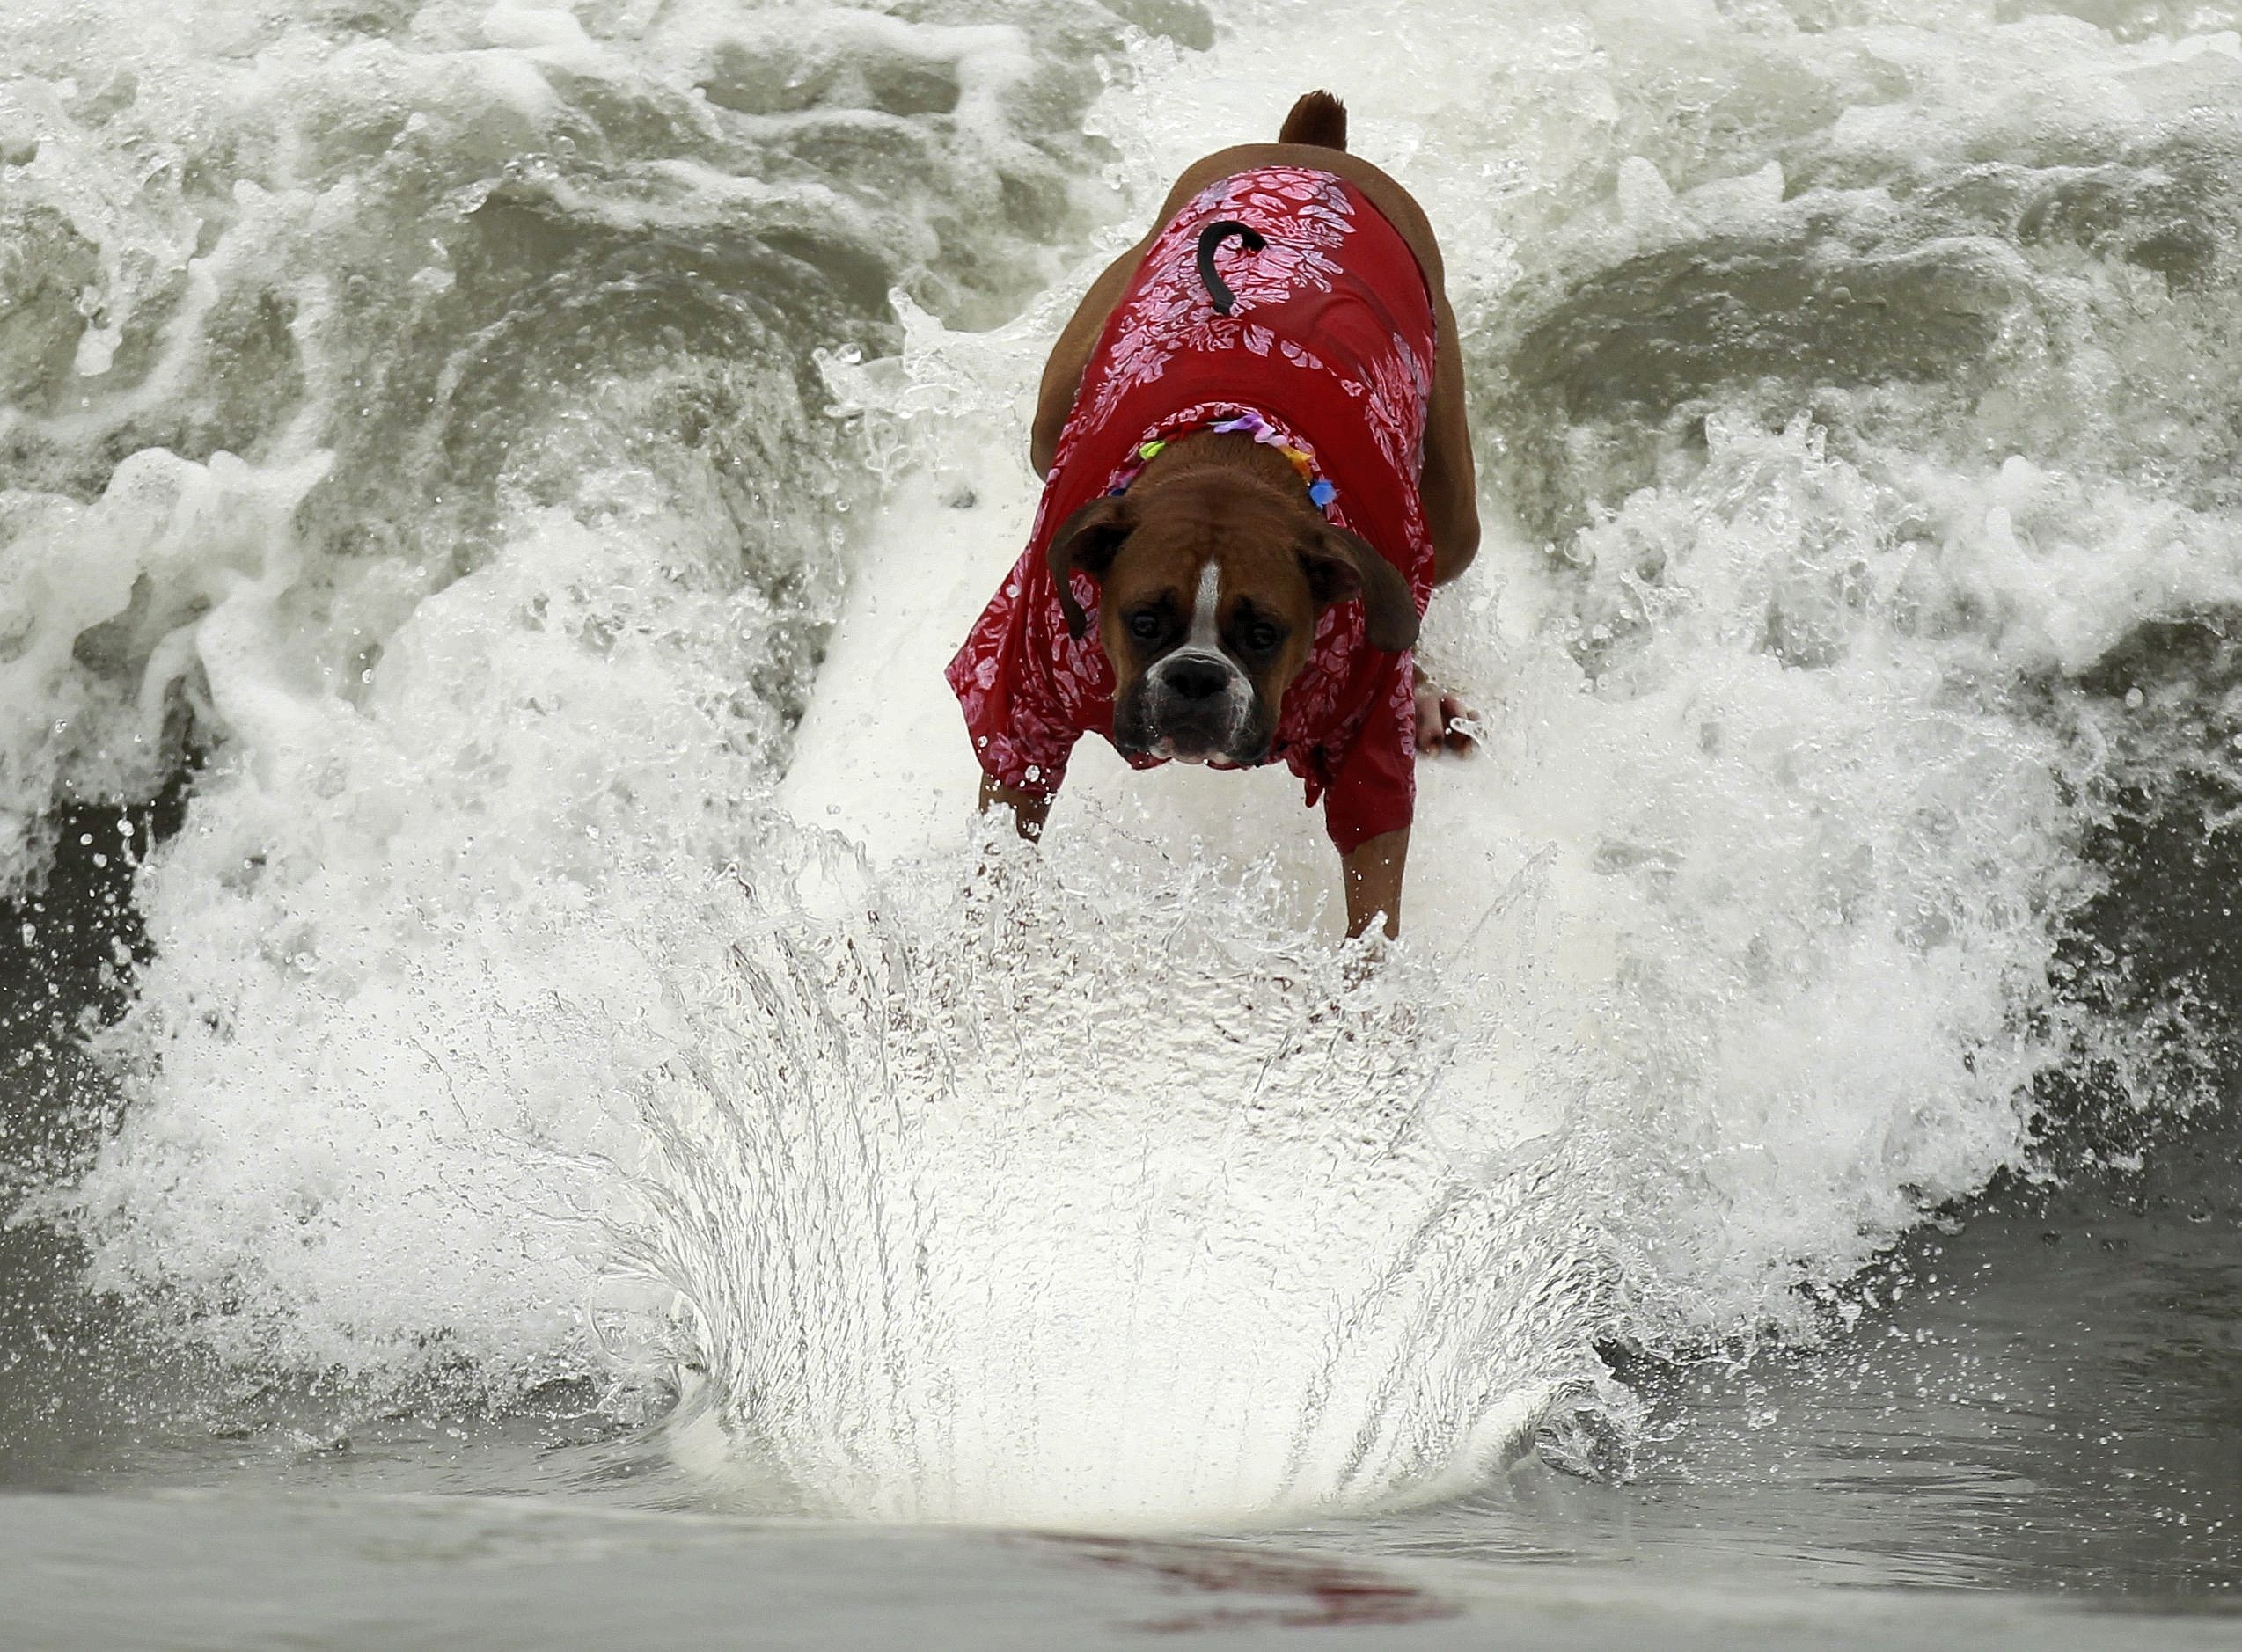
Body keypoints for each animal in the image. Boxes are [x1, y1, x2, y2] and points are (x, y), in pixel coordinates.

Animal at [941, 90, 1479, 932]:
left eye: (1265, 634)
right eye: (1142, 620)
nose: (1196, 677)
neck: (1233, 456)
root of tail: (1309, 150)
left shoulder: (1368, 750)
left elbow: (1375, 894)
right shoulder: (1021, 697)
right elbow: (1006, 827)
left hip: (1454, 518)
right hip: (1050, 411)